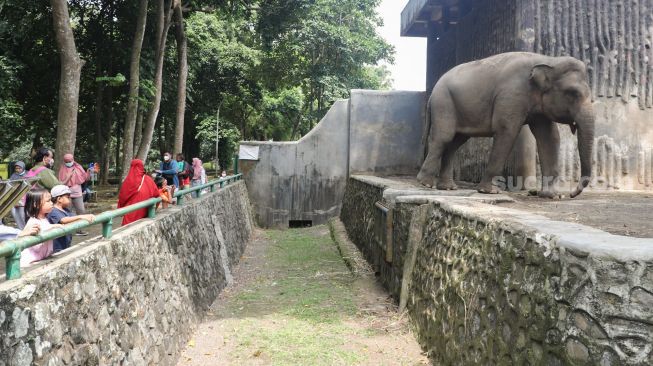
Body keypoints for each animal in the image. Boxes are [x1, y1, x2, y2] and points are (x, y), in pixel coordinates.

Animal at [418, 51, 596, 197]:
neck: (548, 60)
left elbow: (549, 138)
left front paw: (552, 196)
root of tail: (432, 92)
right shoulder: (512, 93)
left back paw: (447, 187)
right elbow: (507, 131)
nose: (571, 194)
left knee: (455, 142)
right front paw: (490, 191)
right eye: (572, 93)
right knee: (444, 138)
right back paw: (425, 183)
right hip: (443, 103)